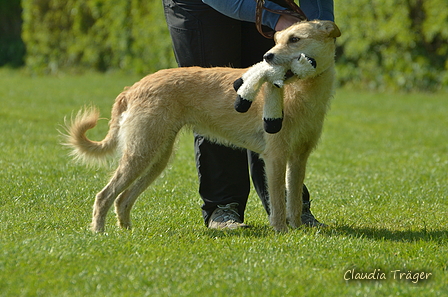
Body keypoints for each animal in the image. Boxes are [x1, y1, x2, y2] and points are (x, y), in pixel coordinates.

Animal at [65, 20, 342, 231]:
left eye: (294, 39)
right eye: (277, 39)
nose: (267, 56)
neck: (300, 91)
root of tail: (133, 88)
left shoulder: (298, 158)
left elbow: (294, 200)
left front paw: (298, 229)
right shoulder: (275, 157)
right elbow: (278, 201)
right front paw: (282, 231)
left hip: (156, 158)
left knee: (122, 199)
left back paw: (126, 232)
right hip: (141, 154)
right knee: (104, 196)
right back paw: (99, 233)